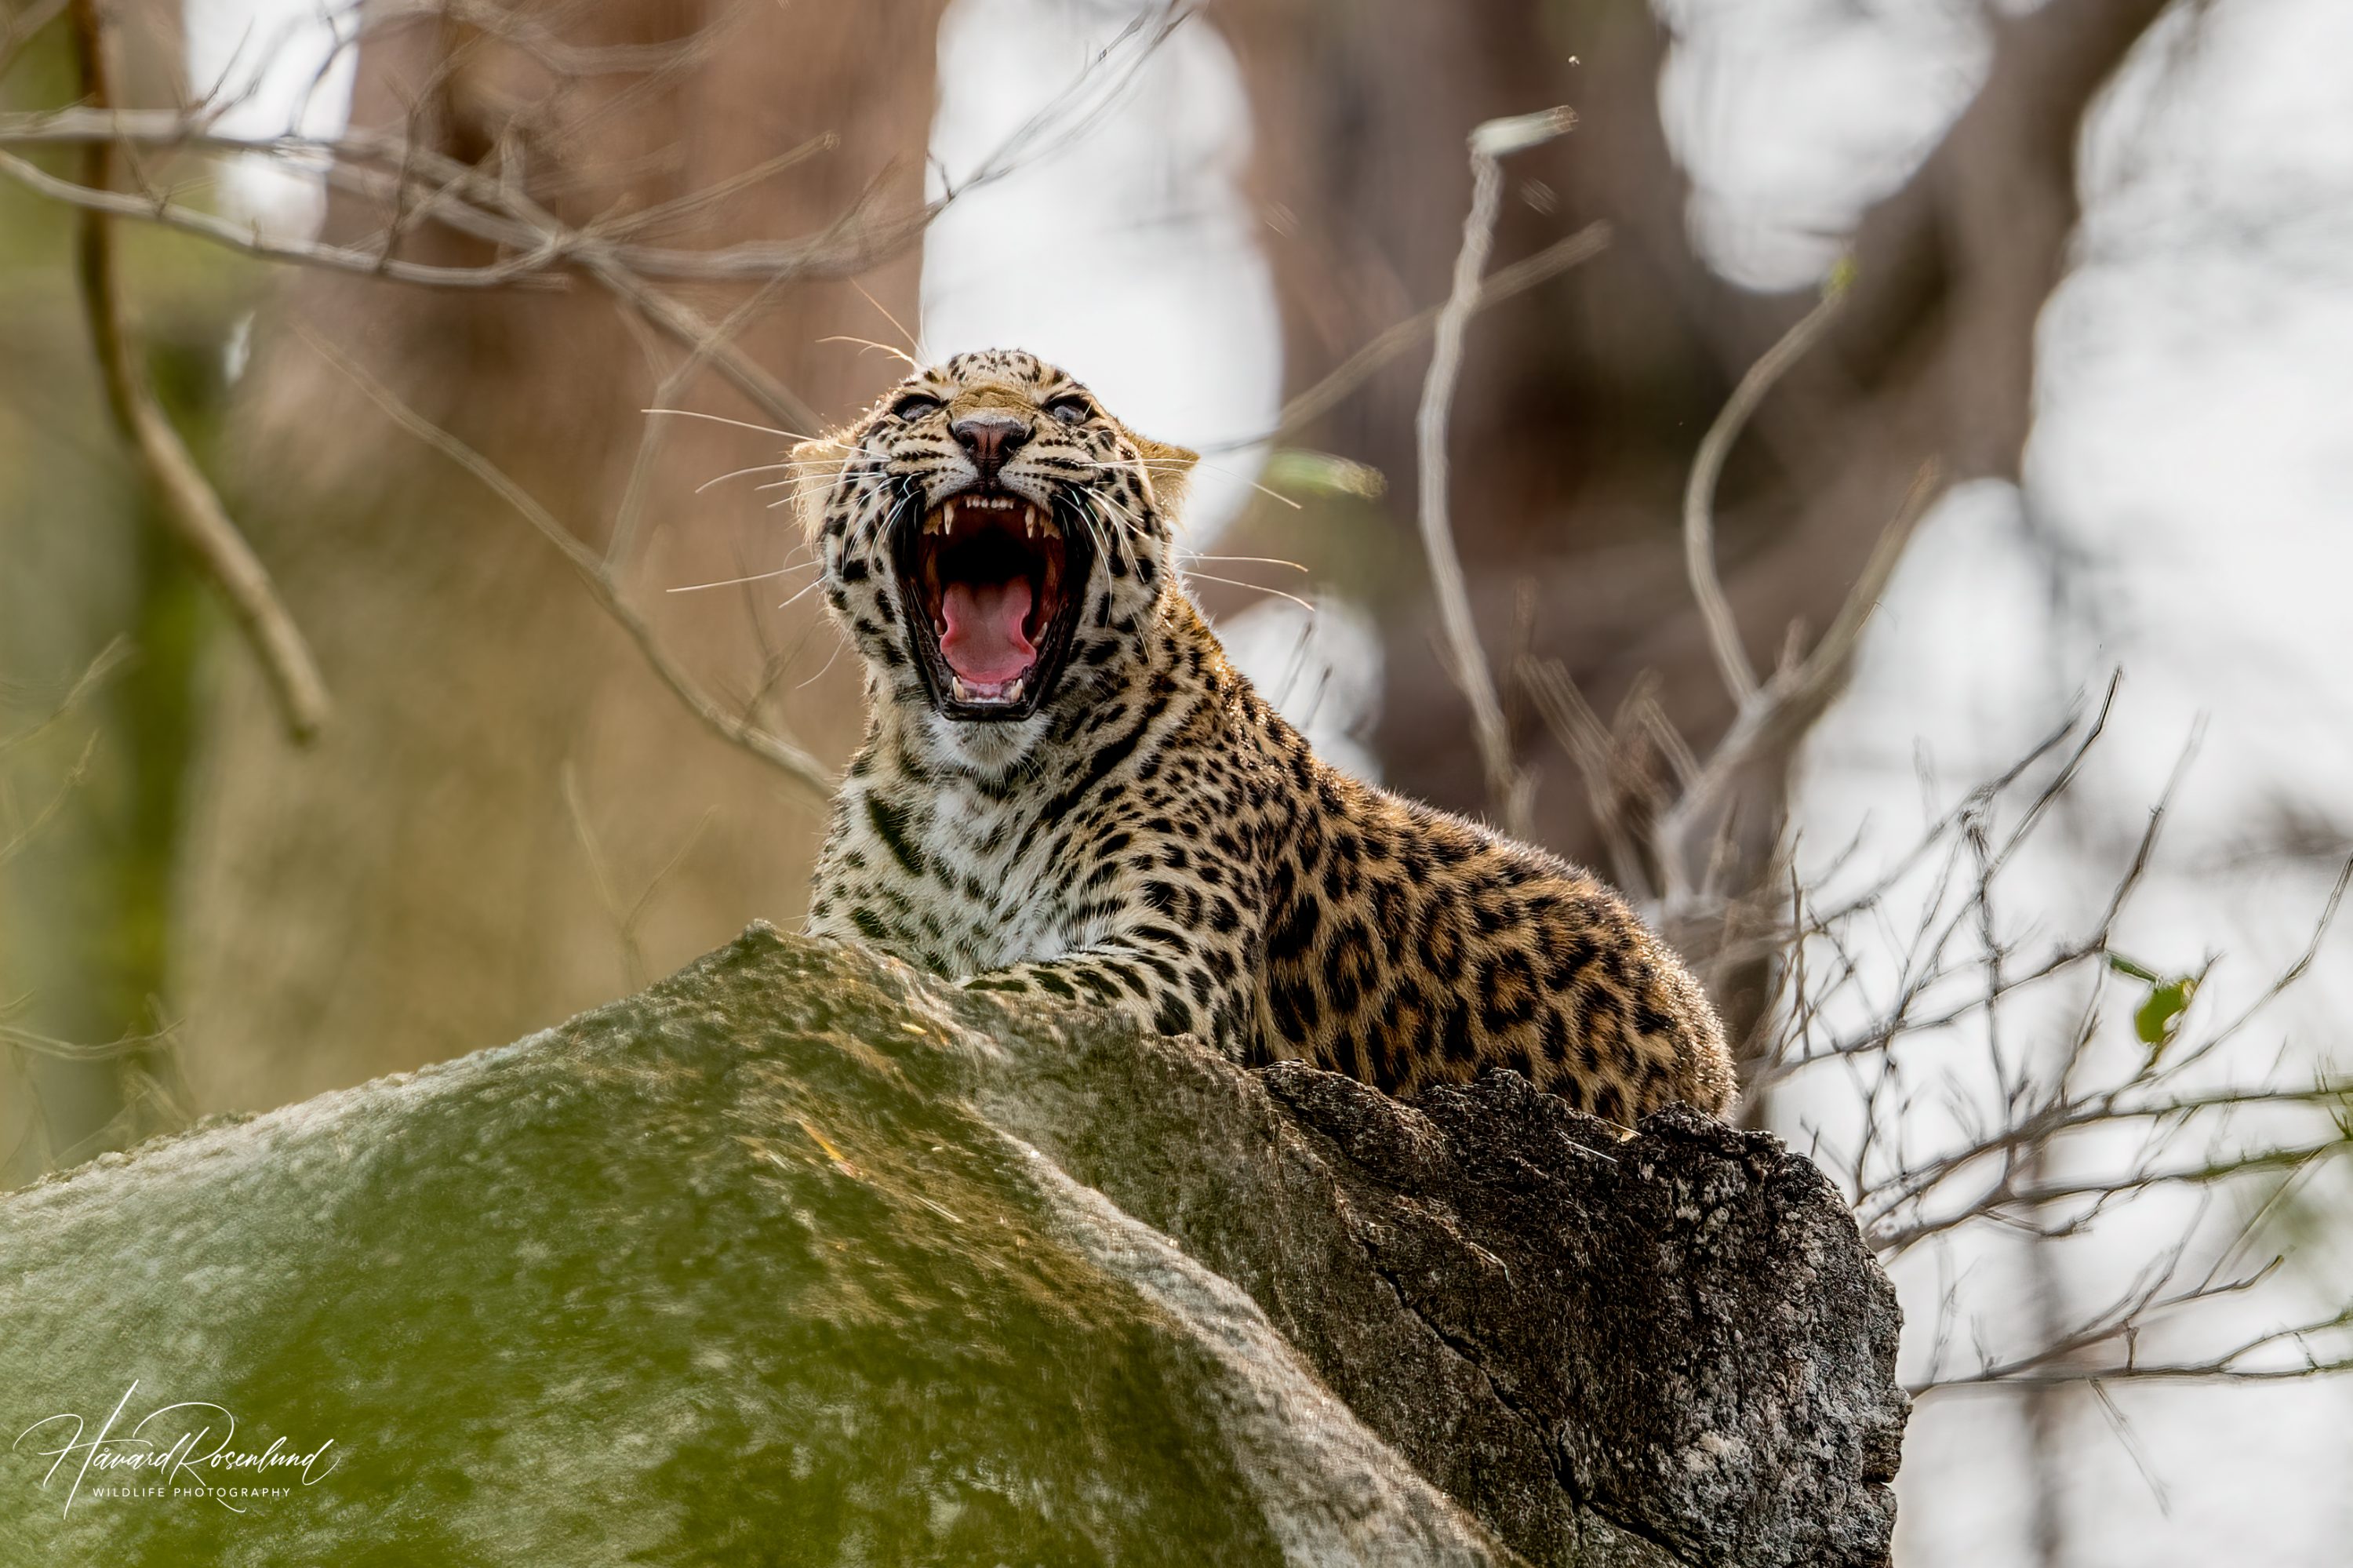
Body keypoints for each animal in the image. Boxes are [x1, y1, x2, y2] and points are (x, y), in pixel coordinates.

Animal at [794, 347, 1734, 1125]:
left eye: (1066, 408)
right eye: (917, 405)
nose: (989, 431)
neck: (981, 791)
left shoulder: (1176, 953)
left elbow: (1006, 984)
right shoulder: (854, 935)